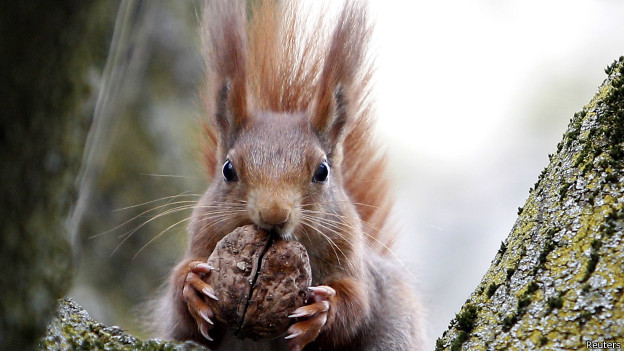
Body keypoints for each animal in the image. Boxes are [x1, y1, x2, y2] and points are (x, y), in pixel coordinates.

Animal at [154, 0, 422, 351]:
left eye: (322, 171)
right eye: (228, 169)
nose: (273, 214)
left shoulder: (355, 263)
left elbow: (356, 305)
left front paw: (322, 310)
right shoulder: (202, 237)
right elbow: (182, 314)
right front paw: (192, 285)